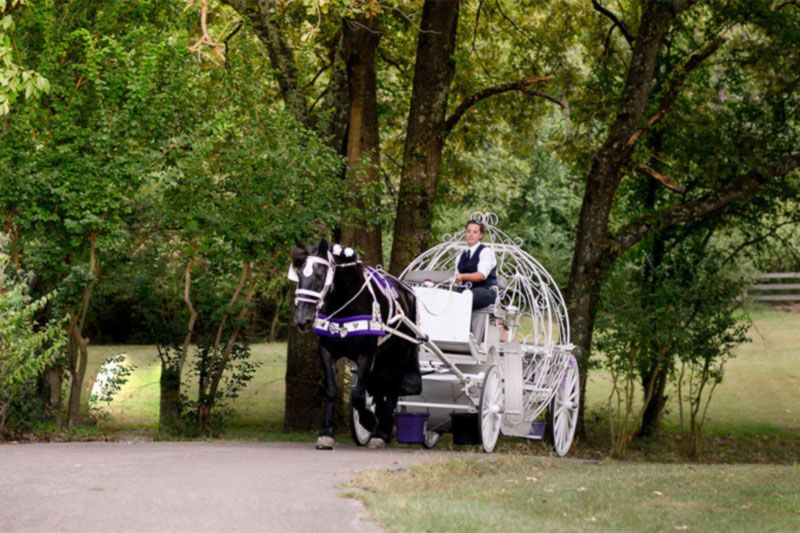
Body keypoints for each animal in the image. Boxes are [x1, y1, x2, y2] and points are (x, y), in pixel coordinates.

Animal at [290, 239, 422, 446]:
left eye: (320, 275)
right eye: (299, 274)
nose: (302, 319)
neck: (347, 306)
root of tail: (406, 290)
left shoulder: (366, 354)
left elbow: (359, 394)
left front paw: (367, 420)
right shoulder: (326, 351)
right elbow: (332, 390)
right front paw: (327, 433)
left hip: (397, 354)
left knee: (392, 389)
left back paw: (381, 433)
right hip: (381, 358)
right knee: (379, 387)